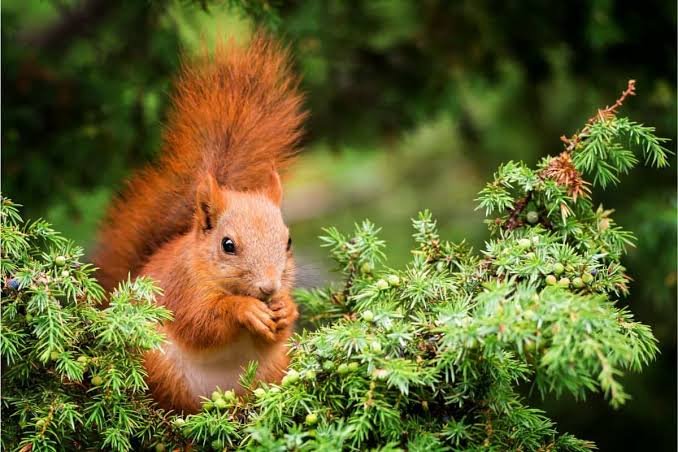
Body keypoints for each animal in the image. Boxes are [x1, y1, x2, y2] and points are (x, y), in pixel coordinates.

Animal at [91, 35, 305, 413]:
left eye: (288, 242)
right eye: (227, 245)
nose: (269, 288)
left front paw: (285, 309)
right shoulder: (180, 290)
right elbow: (201, 324)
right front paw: (244, 309)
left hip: (273, 369)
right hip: (159, 365)